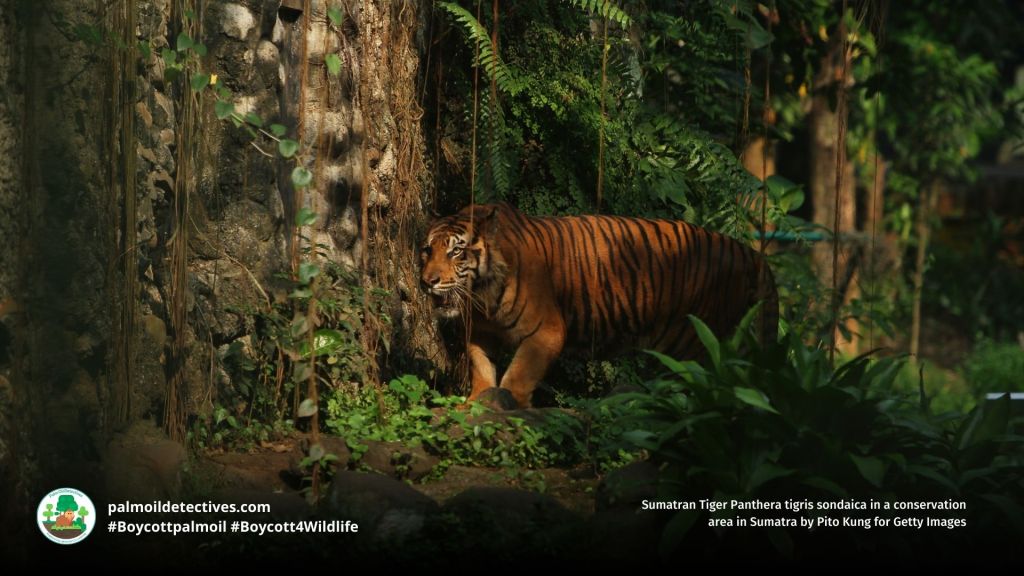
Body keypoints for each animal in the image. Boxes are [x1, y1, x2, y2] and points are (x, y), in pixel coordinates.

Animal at [420, 203, 778, 408]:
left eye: (456, 251)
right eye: (427, 250)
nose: (427, 282)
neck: (482, 294)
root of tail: (750, 253)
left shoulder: (547, 330)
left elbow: (519, 374)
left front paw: (508, 407)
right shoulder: (481, 333)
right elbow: (481, 369)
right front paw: (474, 404)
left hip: (699, 342)